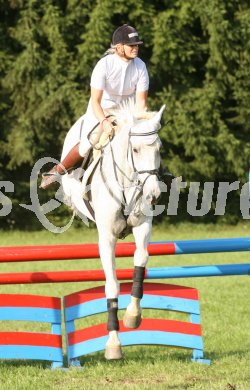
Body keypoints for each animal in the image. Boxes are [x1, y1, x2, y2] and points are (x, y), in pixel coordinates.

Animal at [61, 103, 165, 360]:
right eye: (135, 150)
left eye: (159, 149)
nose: (154, 194)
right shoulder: (107, 238)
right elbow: (112, 285)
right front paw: (114, 344)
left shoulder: (143, 225)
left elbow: (140, 260)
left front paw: (133, 316)